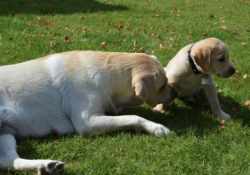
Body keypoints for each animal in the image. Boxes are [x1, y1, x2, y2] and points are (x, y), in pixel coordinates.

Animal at [0, 50, 177, 174]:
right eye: (163, 85)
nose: (176, 93)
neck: (105, 75)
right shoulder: (87, 121)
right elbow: (134, 117)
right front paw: (156, 127)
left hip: (6, 134)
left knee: (10, 162)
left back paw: (48, 167)